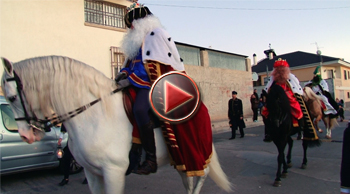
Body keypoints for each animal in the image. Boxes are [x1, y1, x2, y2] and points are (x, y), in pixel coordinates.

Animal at [2, 55, 232, 194]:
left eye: (12, 97)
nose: (26, 136)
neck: (95, 114)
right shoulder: (92, 173)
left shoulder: (114, 171)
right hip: (180, 158)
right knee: (188, 180)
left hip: (195, 152)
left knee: (200, 177)